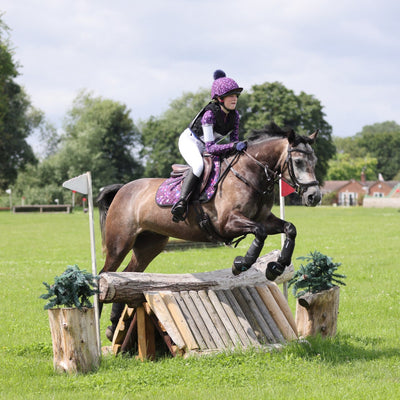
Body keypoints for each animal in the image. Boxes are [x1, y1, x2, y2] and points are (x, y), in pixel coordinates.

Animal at [97, 123, 322, 340]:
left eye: (315, 161)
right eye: (298, 162)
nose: (314, 197)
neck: (250, 174)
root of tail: (123, 189)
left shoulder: (265, 219)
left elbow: (290, 229)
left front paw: (276, 266)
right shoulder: (227, 223)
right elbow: (259, 233)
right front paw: (241, 263)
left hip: (150, 244)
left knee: (128, 274)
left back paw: (113, 324)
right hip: (119, 243)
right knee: (104, 274)